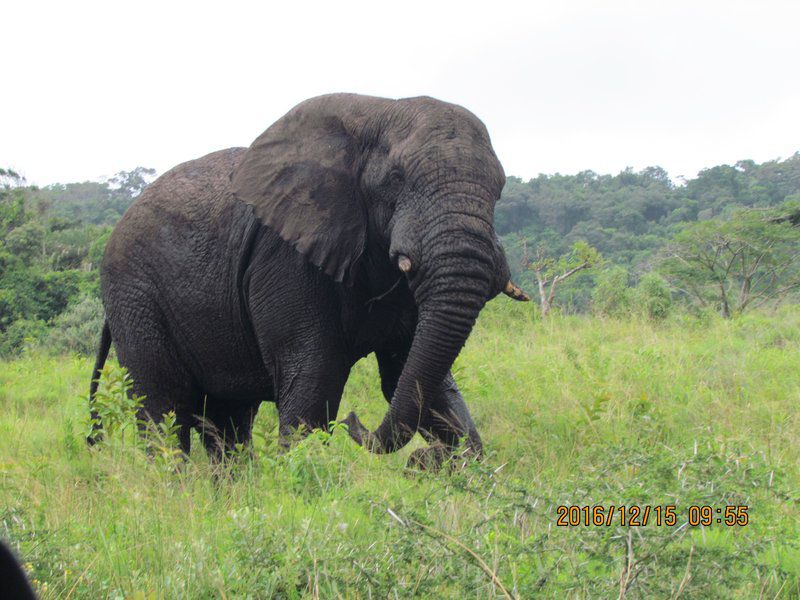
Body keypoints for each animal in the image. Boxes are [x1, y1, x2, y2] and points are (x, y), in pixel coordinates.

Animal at [87, 92, 528, 460]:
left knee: (227, 420)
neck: (377, 112)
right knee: (163, 406)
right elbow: (315, 376)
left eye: (501, 189)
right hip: (135, 297)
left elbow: (417, 380)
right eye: (396, 178)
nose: (424, 459)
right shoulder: (286, 257)